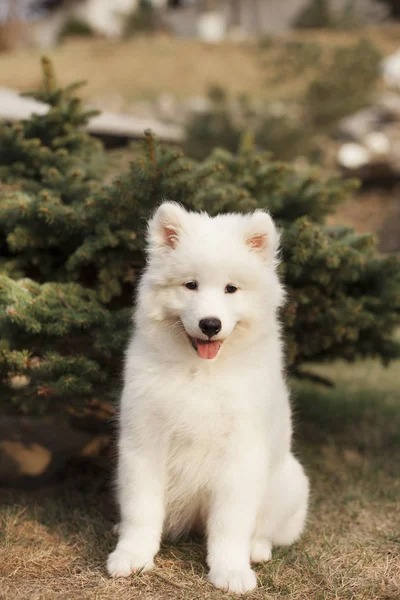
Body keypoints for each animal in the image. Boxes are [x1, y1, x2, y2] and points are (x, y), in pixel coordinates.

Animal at [106, 203, 310, 596]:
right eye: (191, 285)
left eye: (231, 289)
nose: (210, 324)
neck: (201, 371)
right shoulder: (144, 442)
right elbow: (141, 509)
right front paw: (132, 556)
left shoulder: (240, 453)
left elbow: (231, 524)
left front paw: (231, 571)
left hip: (290, 483)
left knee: (268, 530)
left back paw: (257, 550)